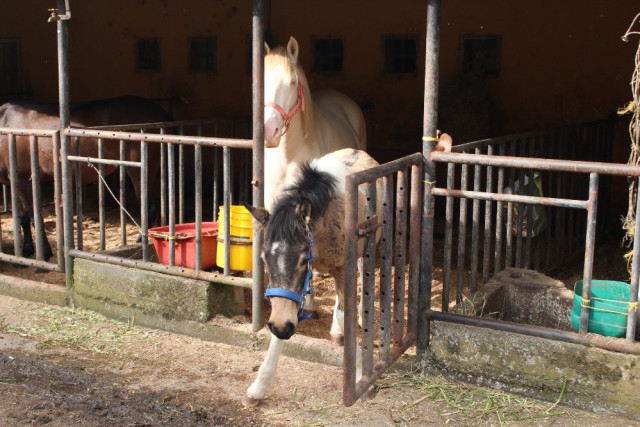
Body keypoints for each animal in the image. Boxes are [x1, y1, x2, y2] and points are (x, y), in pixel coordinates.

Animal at [0, 96, 170, 260]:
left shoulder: (23, 179)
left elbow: (33, 217)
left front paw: (44, 254)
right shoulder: (16, 183)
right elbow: (23, 218)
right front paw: (26, 252)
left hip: (139, 171)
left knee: (149, 207)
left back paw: (140, 243)